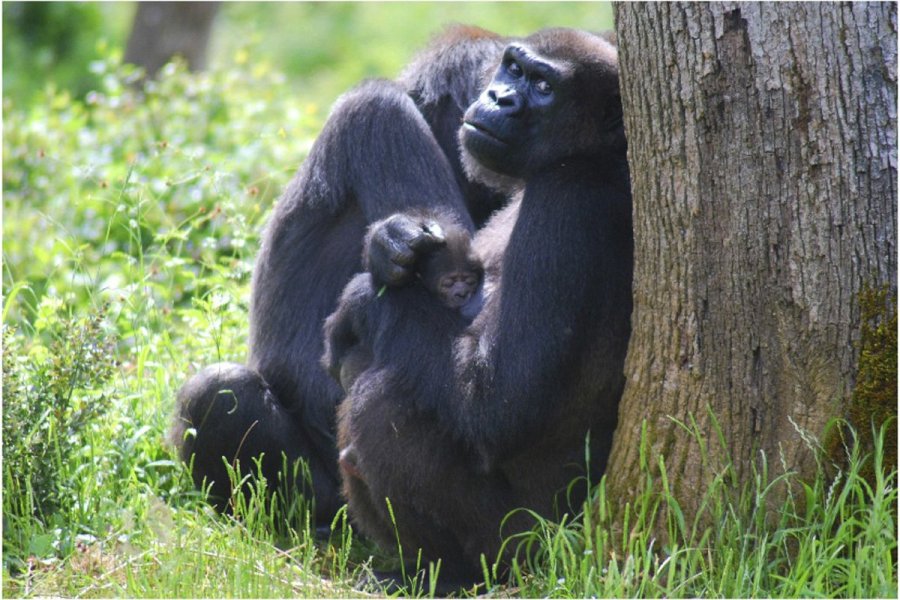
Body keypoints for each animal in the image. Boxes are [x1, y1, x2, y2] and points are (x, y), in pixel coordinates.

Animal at [172, 24, 628, 580]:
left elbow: (496, 400)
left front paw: (369, 296)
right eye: (512, 70)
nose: (499, 98)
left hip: (531, 545)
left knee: (368, 404)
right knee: (221, 394)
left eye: (542, 86)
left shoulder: (565, 195)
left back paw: (448, 575)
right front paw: (389, 247)